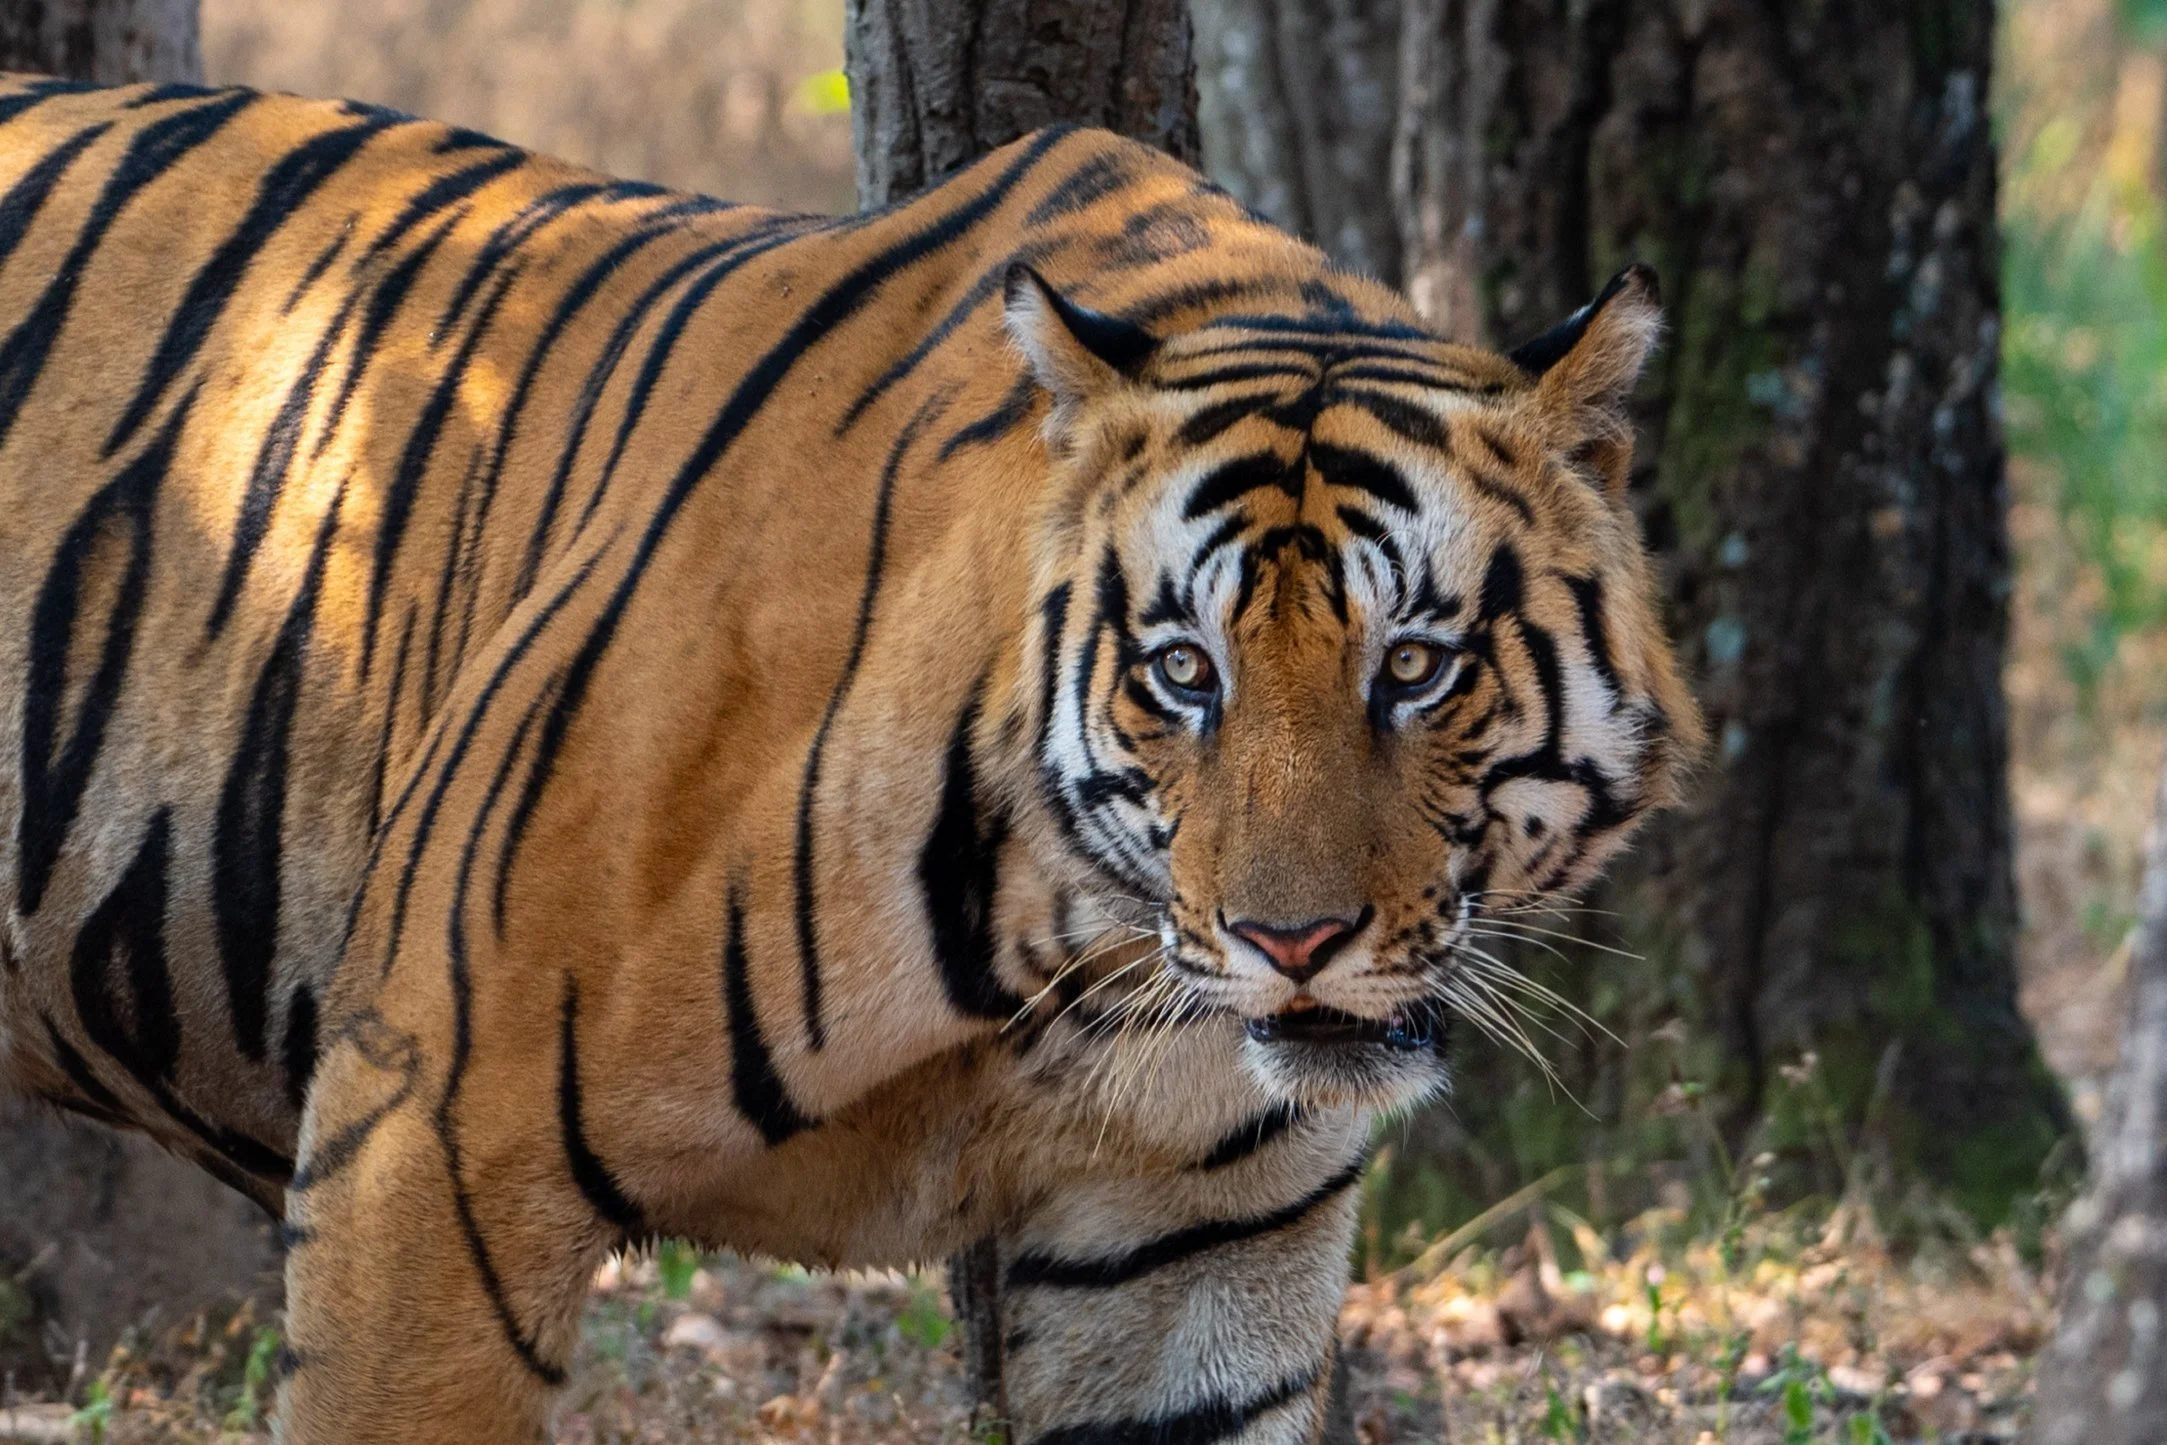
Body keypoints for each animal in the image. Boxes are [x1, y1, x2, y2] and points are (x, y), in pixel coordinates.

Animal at [0, 74, 1700, 1442]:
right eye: (1182, 673)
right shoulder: (431, 1133)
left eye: (1412, 666)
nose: (1291, 942)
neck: (1063, 954)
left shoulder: (1194, 1250)